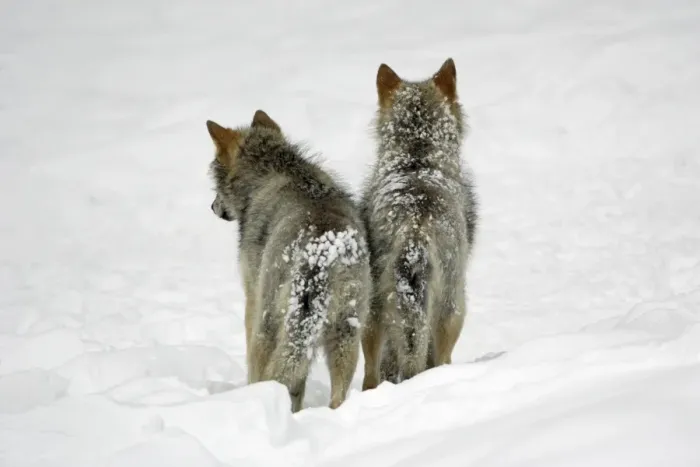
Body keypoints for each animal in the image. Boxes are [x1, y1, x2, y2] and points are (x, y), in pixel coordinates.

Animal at [206, 110, 370, 412]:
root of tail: (322, 253)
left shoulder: (252, 301)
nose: (212, 207)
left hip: (269, 325)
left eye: (216, 185)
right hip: (346, 334)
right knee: (336, 396)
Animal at [360, 58, 478, 390]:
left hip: (371, 317)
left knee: (371, 376)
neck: (417, 159)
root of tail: (414, 234)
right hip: (453, 310)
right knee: (438, 361)